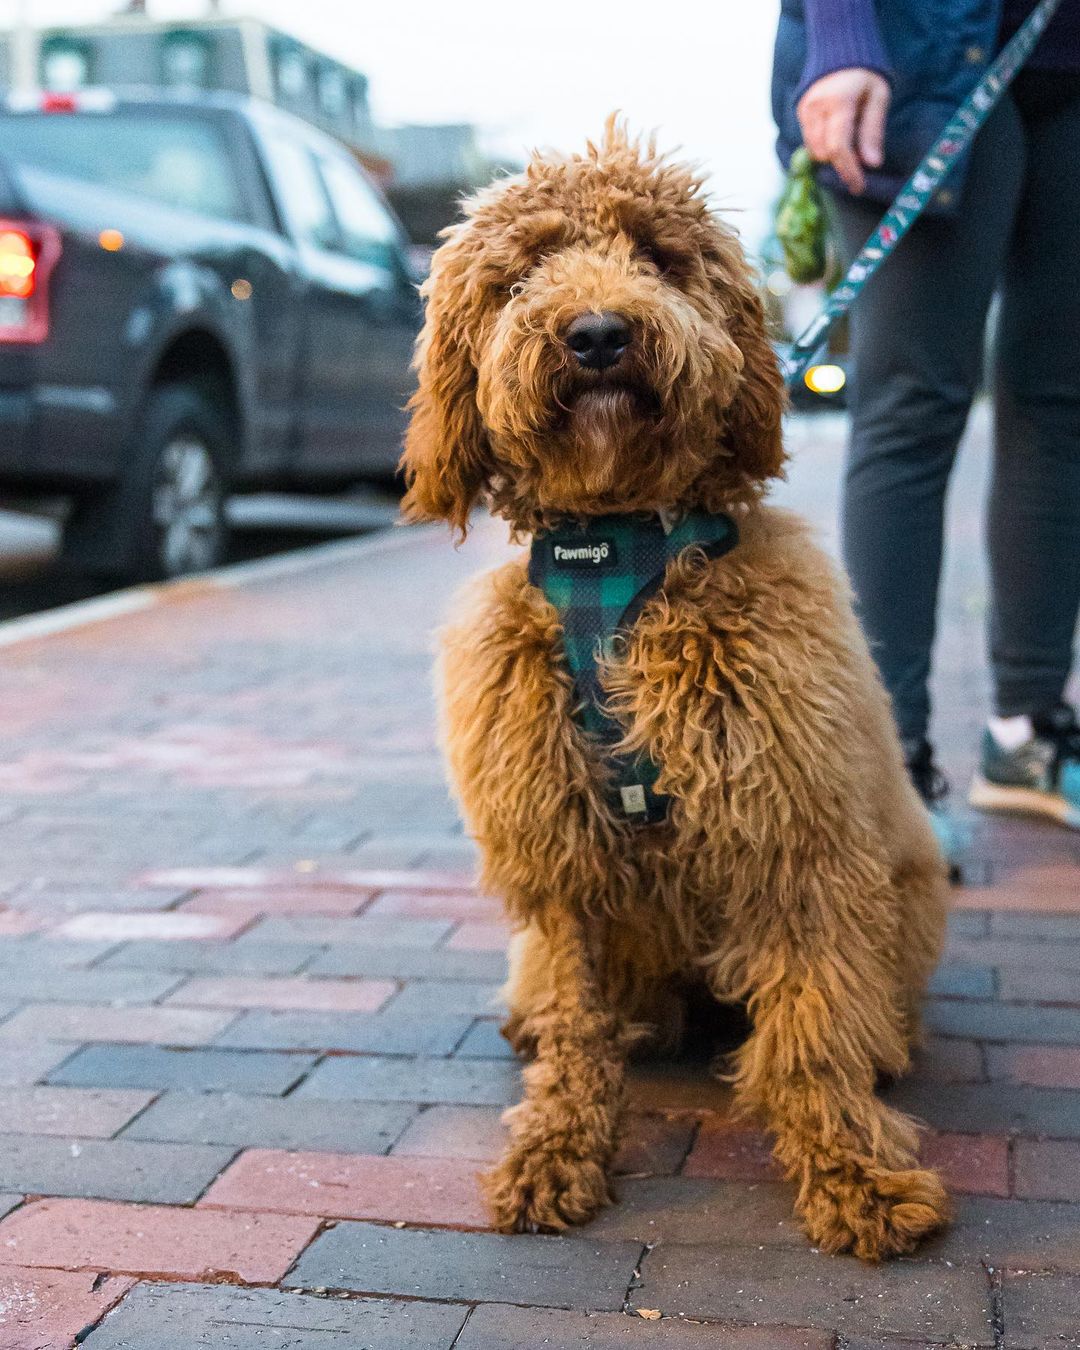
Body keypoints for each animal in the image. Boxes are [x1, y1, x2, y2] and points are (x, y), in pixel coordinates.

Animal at [399, 121, 950, 1258]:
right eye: (525, 271)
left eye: (657, 256)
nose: (600, 334)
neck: (614, 550)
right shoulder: (558, 851)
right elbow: (577, 1025)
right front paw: (558, 1146)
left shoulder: (794, 836)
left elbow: (812, 1033)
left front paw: (854, 1172)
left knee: (853, 1006)